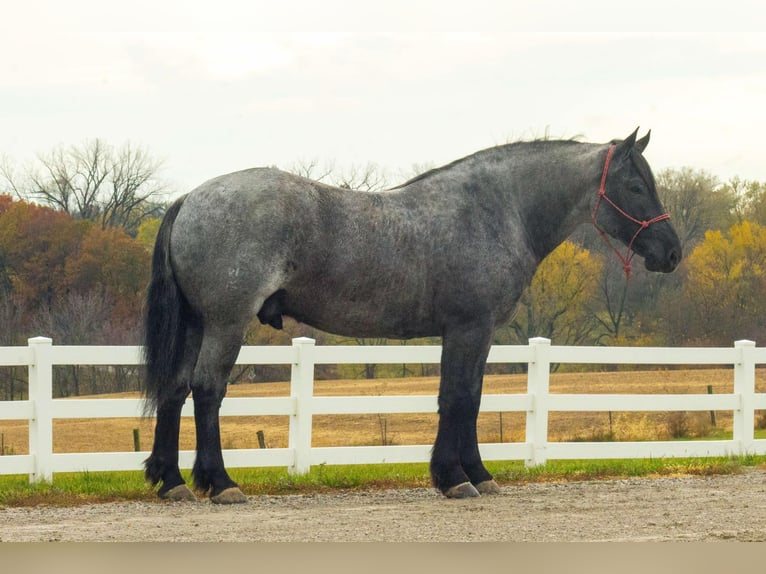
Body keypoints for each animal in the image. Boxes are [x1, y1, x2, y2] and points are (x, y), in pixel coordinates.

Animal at [142, 128, 682, 503]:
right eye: (635, 185)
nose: (672, 252)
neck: (495, 209)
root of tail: (190, 197)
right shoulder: (469, 327)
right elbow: (458, 398)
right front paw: (457, 478)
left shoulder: (474, 333)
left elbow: (470, 399)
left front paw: (475, 474)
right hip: (226, 323)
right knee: (207, 389)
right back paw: (220, 483)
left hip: (196, 324)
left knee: (174, 388)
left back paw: (171, 481)